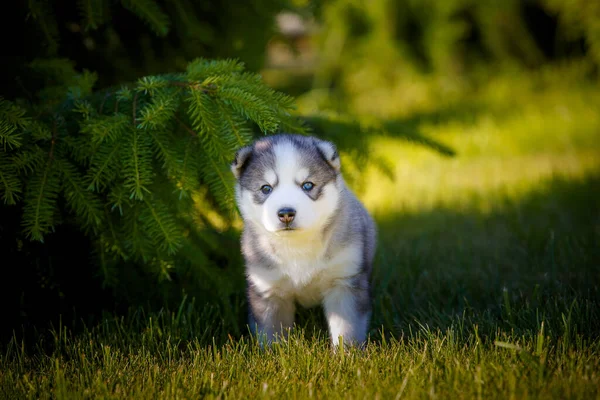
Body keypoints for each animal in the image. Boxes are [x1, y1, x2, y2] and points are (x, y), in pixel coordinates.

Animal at [232, 134, 378, 346]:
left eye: (307, 185)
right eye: (266, 188)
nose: (286, 213)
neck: (296, 245)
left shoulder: (344, 282)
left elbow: (347, 329)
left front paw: (348, 352)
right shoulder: (268, 289)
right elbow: (271, 333)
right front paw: (273, 352)